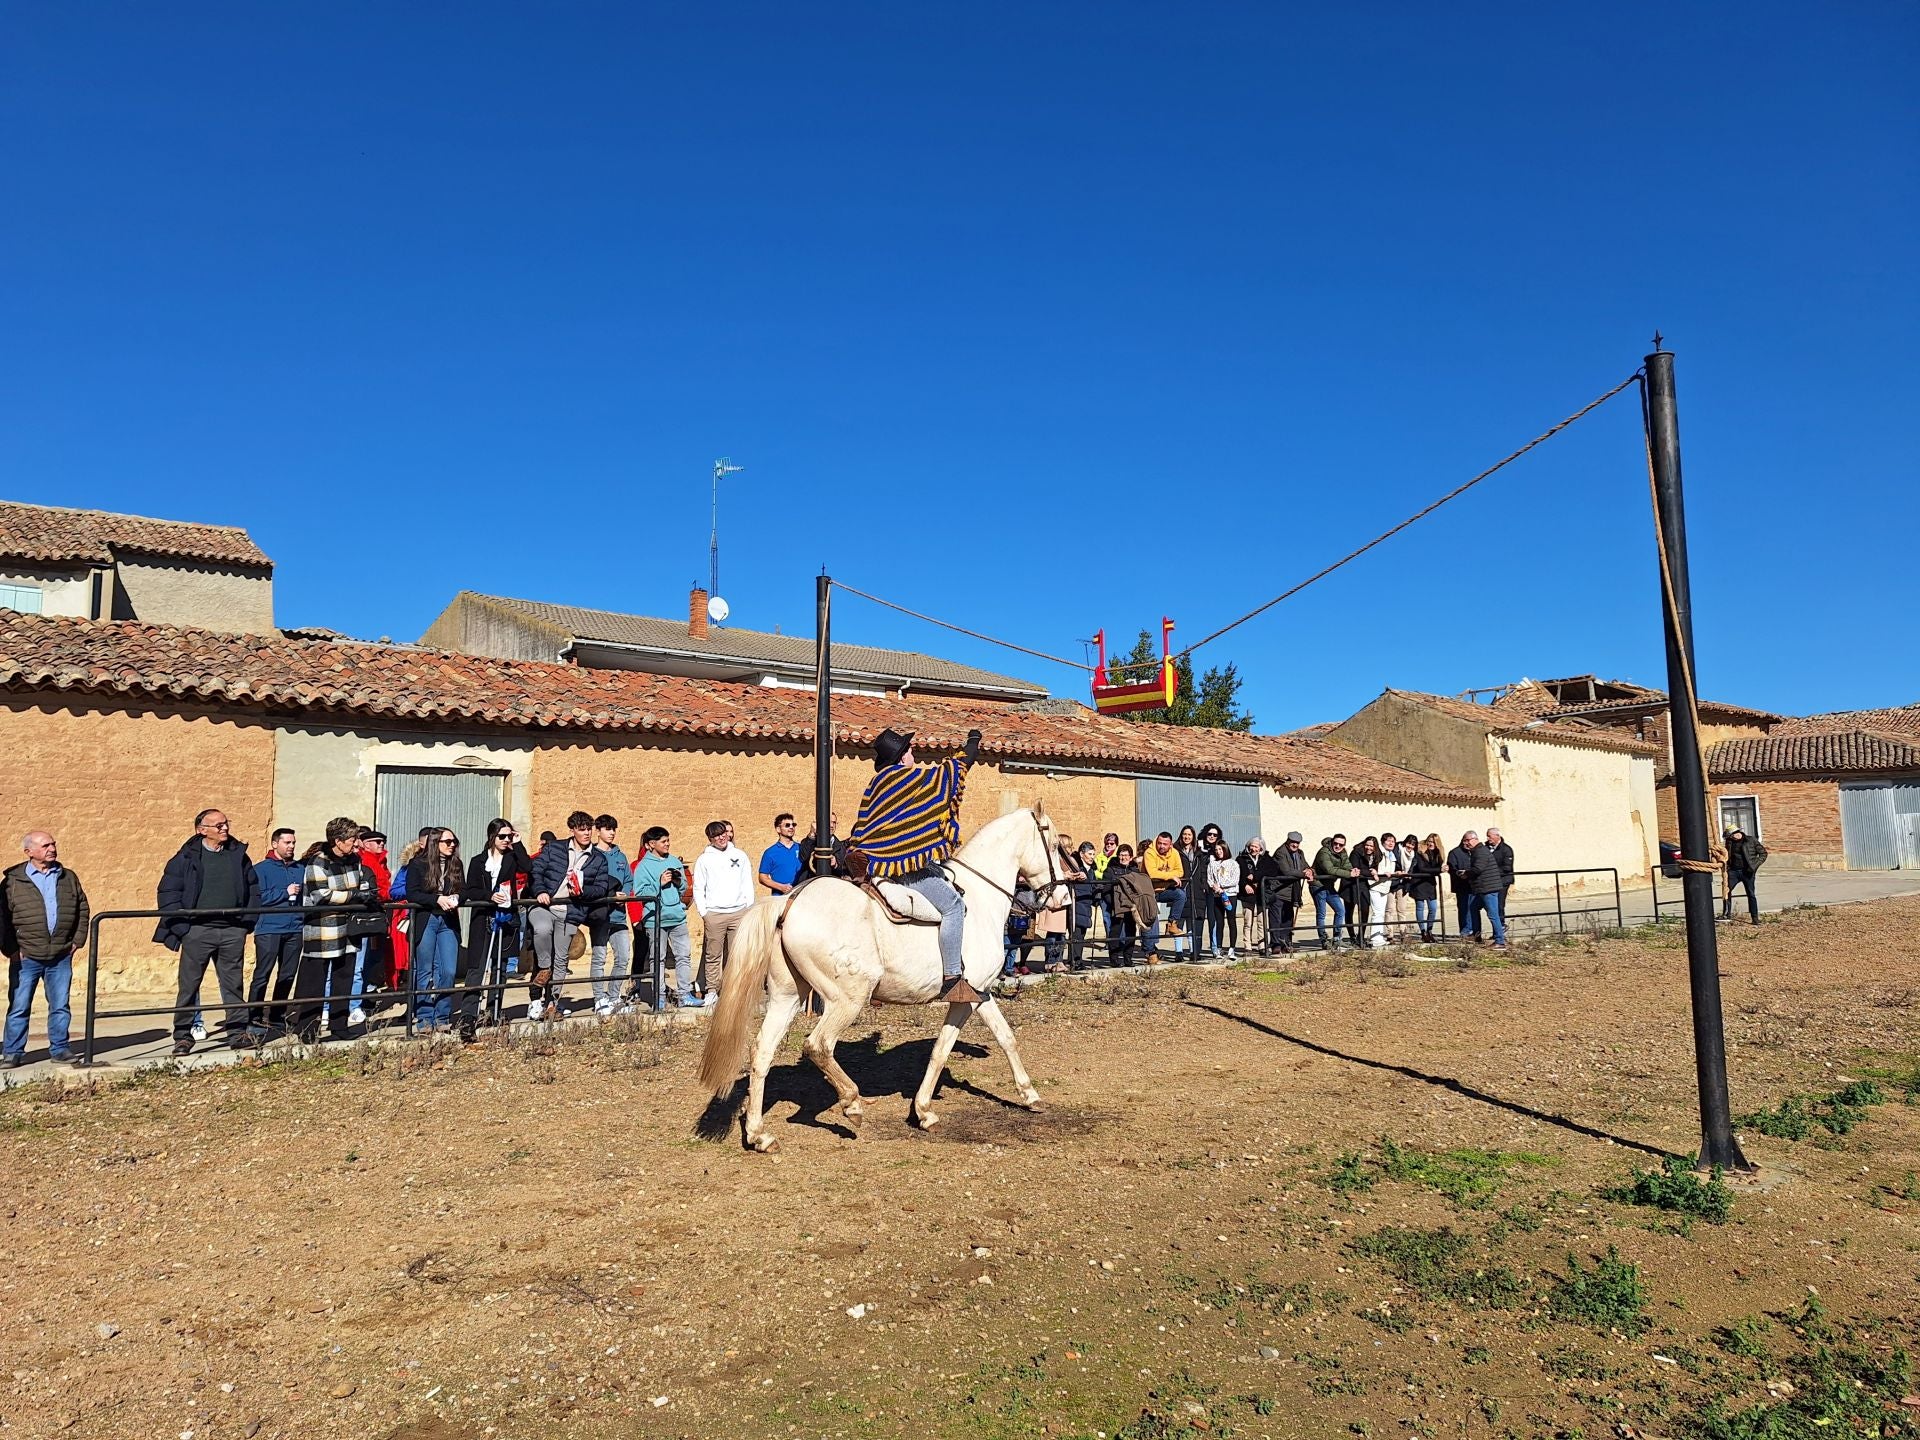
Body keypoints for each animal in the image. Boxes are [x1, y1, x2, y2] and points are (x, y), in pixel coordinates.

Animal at [698, 806, 1067, 1159]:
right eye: (1053, 846)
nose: (1063, 898)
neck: (979, 897)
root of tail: (790, 900)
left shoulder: (981, 993)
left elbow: (1001, 1039)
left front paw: (1027, 1096)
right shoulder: (968, 997)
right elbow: (944, 1049)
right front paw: (926, 1110)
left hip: (787, 997)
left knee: (762, 1052)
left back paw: (759, 1135)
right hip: (847, 999)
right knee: (818, 1045)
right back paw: (852, 1103)